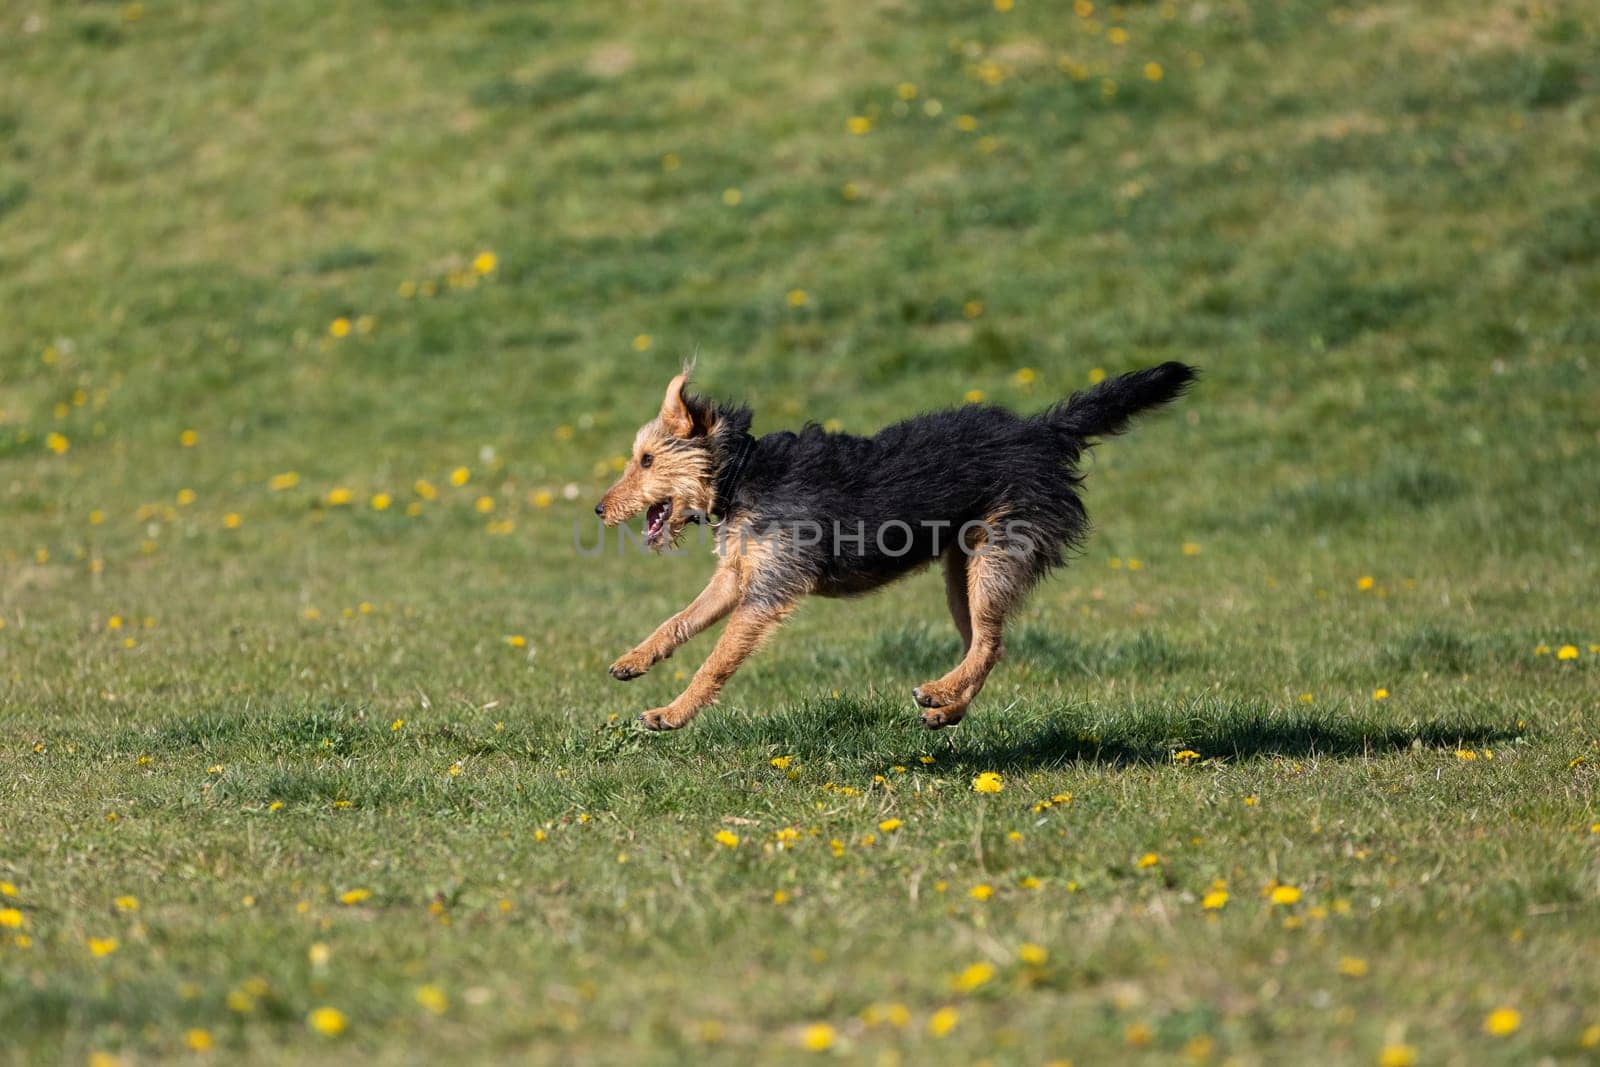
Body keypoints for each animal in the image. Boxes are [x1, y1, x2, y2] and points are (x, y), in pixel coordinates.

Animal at [601, 363, 1203, 729]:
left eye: (647, 461)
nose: (598, 509)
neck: (742, 475)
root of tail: (1046, 430)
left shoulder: (766, 593)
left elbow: (716, 662)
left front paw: (673, 713)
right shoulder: (737, 578)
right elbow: (678, 619)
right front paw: (635, 659)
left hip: (995, 559)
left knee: (988, 643)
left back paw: (938, 693)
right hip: (963, 574)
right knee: (990, 645)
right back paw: (947, 709)